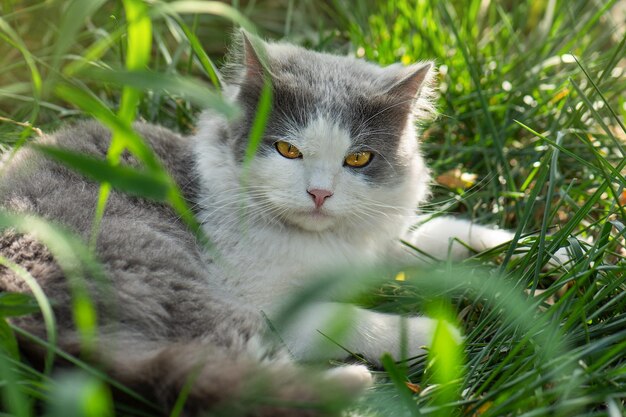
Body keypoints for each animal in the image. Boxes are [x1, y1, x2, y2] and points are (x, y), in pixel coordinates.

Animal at [1, 30, 532, 414]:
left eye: (359, 158)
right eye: (287, 150)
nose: (320, 193)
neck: (321, 242)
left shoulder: (379, 241)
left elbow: (441, 236)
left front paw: (535, 246)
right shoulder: (263, 300)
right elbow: (339, 317)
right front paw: (434, 334)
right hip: (161, 271)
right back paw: (352, 383)